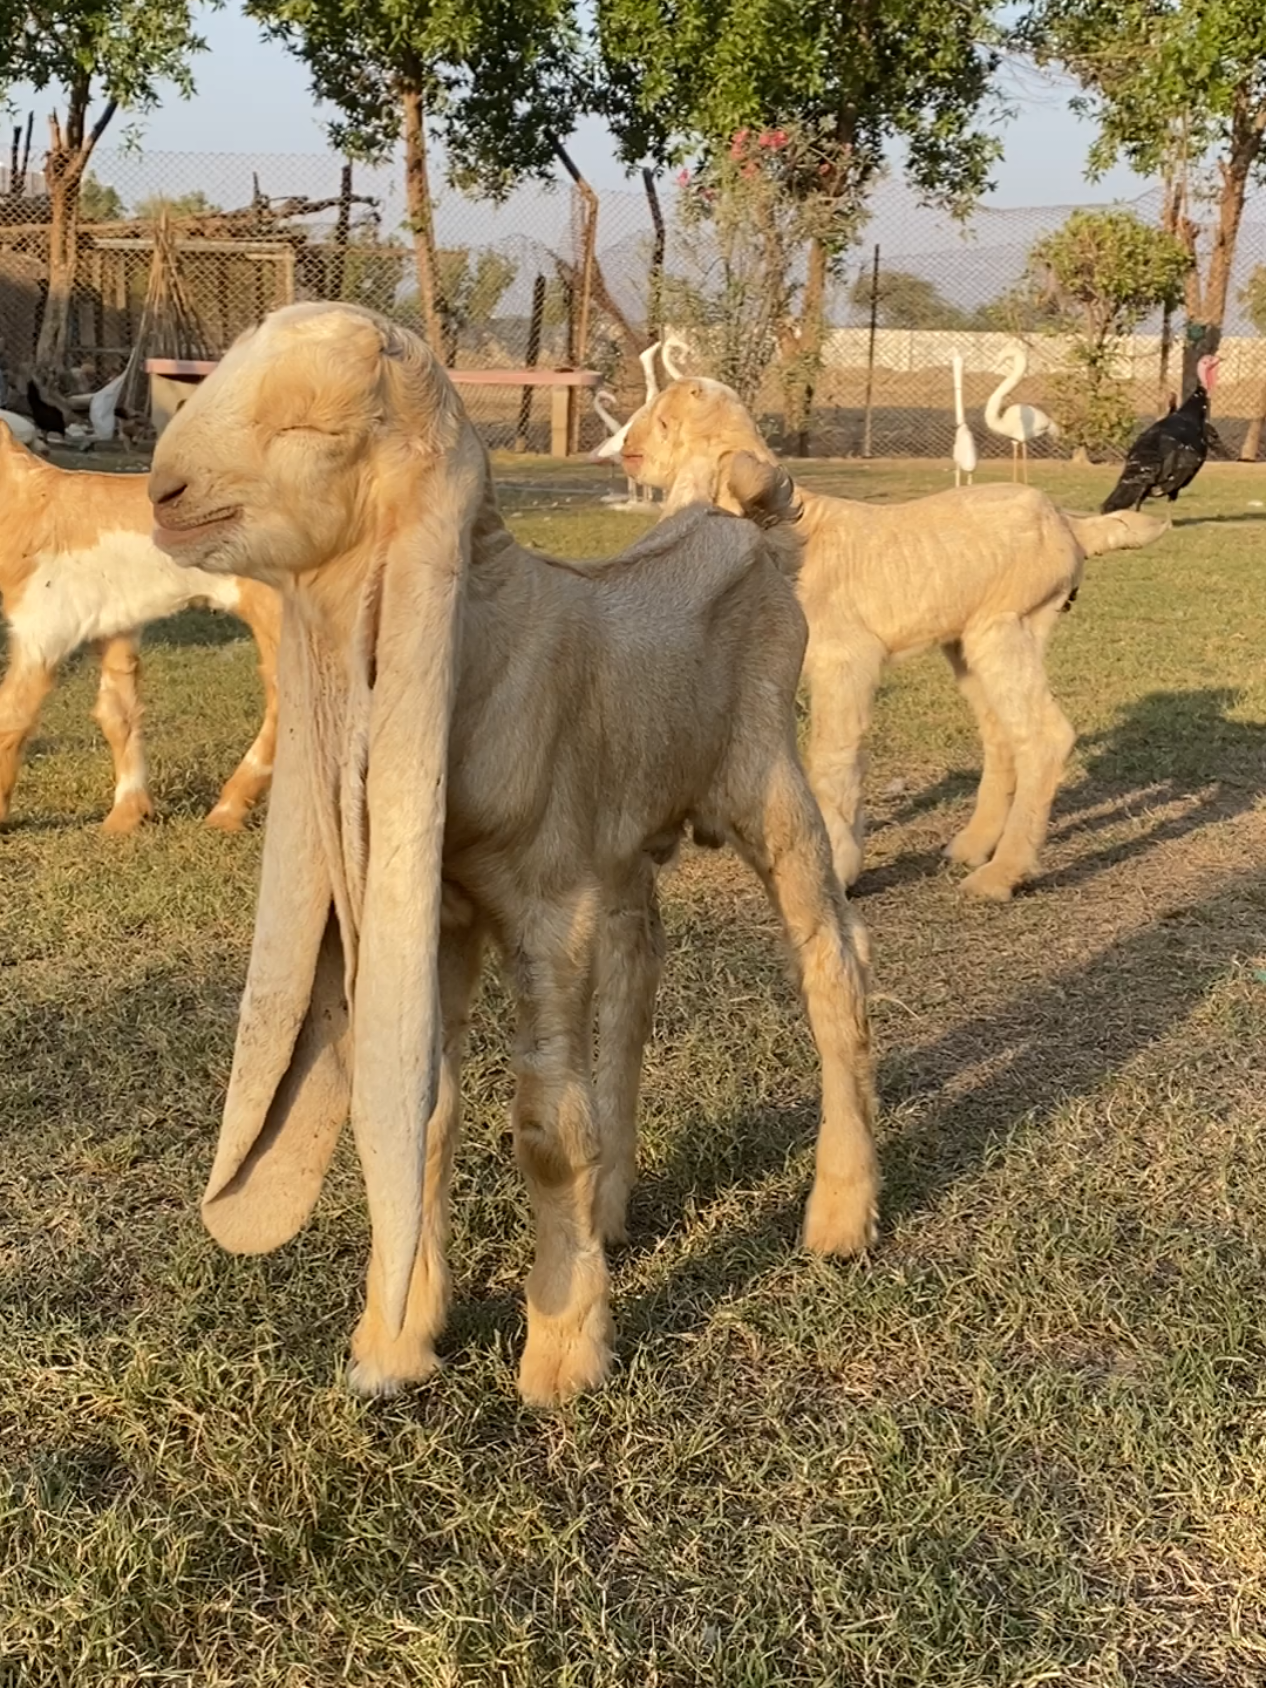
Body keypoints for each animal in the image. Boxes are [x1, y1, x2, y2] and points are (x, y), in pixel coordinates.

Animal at [0, 421, 280, 832]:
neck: (30, 505)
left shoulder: (45, 626)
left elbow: (12, 714)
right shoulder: (115, 624)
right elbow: (117, 712)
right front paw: (127, 816)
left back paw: (228, 810)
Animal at [148, 302, 878, 1406]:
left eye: (314, 427)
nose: (163, 491)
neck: (484, 642)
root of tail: (738, 523)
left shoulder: (545, 904)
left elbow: (544, 1126)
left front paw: (563, 1355)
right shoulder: (450, 905)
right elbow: (427, 1103)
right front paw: (393, 1346)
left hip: (767, 780)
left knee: (831, 958)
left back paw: (841, 1214)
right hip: (622, 836)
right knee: (640, 969)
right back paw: (615, 1207)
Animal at [618, 378, 1171, 901]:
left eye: (665, 421)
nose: (626, 449)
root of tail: (1072, 529)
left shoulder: (845, 659)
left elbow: (833, 758)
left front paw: (841, 868)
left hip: (1005, 624)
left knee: (1043, 736)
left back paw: (1000, 876)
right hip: (973, 641)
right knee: (1001, 733)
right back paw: (970, 847)